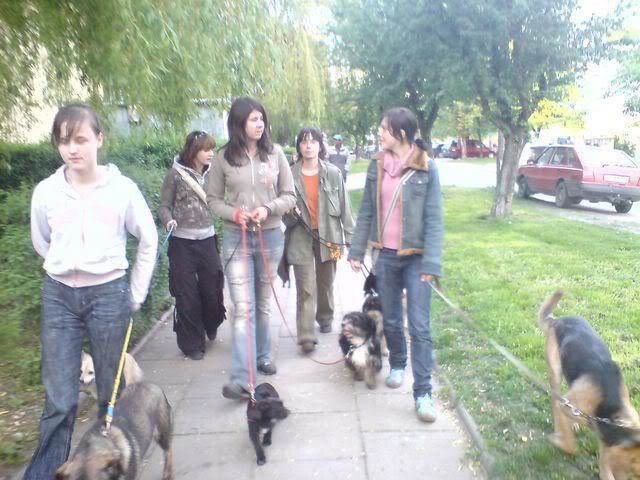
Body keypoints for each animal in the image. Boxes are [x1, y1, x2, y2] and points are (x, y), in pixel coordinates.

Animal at [539, 291, 640, 479]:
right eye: (634, 468)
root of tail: (557, 320)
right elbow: (570, 446)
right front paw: (558, 439)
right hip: (555, 372)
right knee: (555, 402)